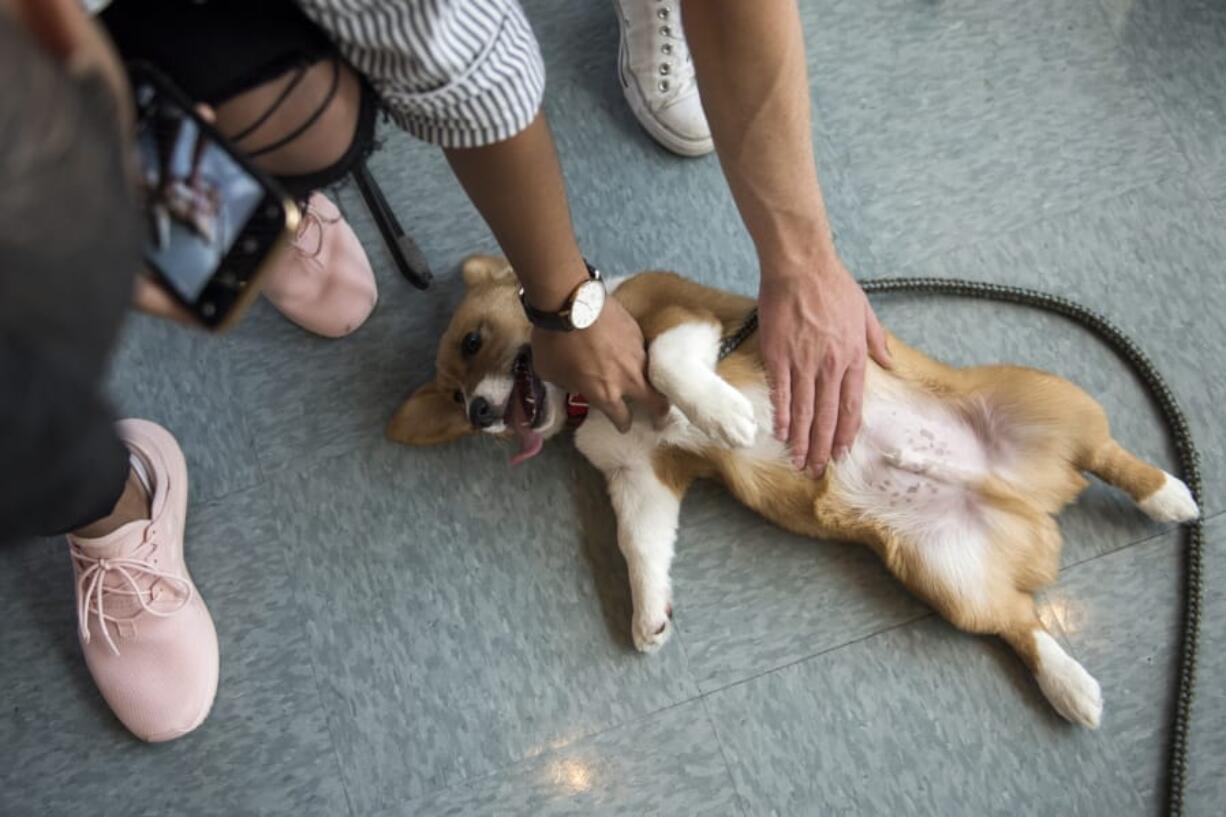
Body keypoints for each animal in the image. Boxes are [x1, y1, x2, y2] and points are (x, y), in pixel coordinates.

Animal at [392, 255, 1196, 726]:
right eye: (454, 394)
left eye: (474, 341)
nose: (480, 413)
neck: (587, 399)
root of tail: (1022, 498)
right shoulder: (643, 479)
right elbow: (639, 547)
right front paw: (649, 615)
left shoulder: (683, 319)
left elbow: (665, 361)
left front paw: (723, 412)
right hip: (951, 579)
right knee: (1021, 625)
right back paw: (1070, 684)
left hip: (1046, 401)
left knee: (1107, 455)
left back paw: (1168, 494)